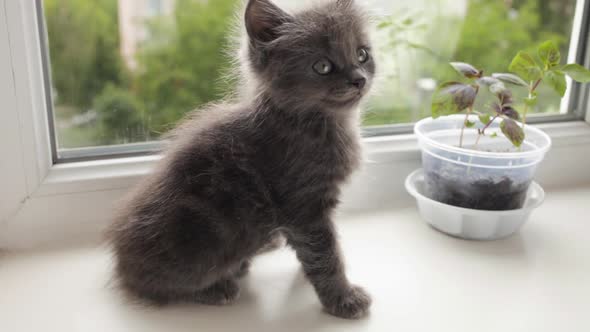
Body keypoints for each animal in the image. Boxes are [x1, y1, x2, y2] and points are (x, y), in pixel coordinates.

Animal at [107, 0, 374, 320]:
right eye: (323, 66)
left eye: (362, 54)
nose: (359, 79)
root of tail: (122, 264)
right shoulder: (304, 206)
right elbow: (326, 255)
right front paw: (343, 298)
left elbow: (314, 251)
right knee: (159, 287)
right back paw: (217, 288)